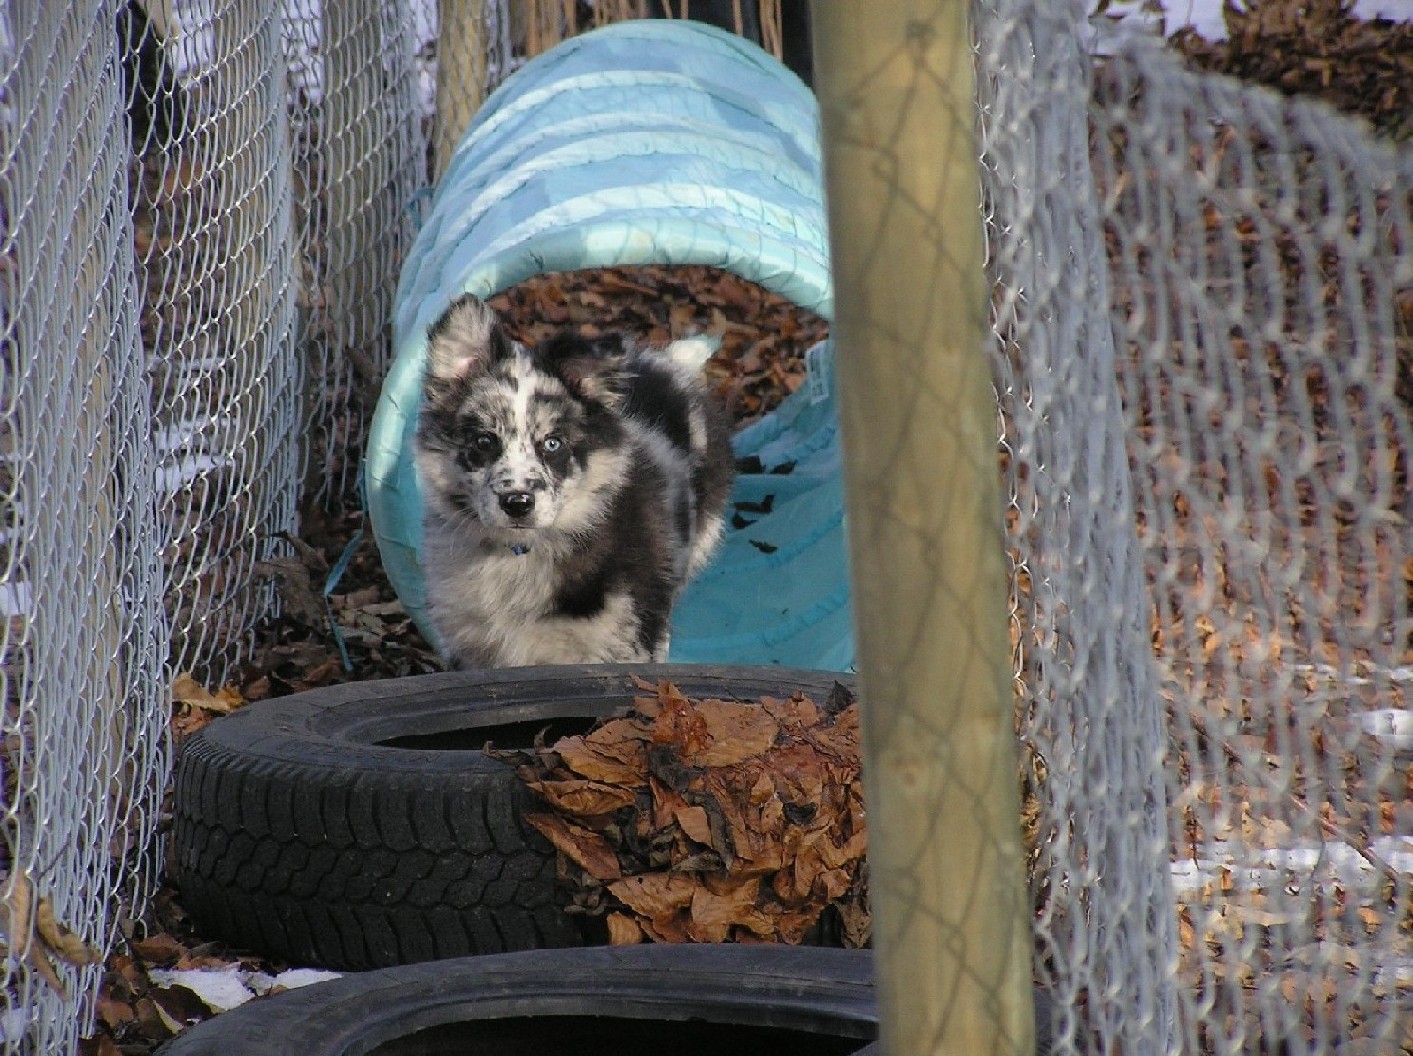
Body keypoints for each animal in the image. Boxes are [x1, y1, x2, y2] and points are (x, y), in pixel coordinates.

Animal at [412, 292, 734, 664]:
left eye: (553, 443)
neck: (518, 553)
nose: (517, 503)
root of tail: (664, 363)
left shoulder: (624, 638)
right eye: (484, 442)